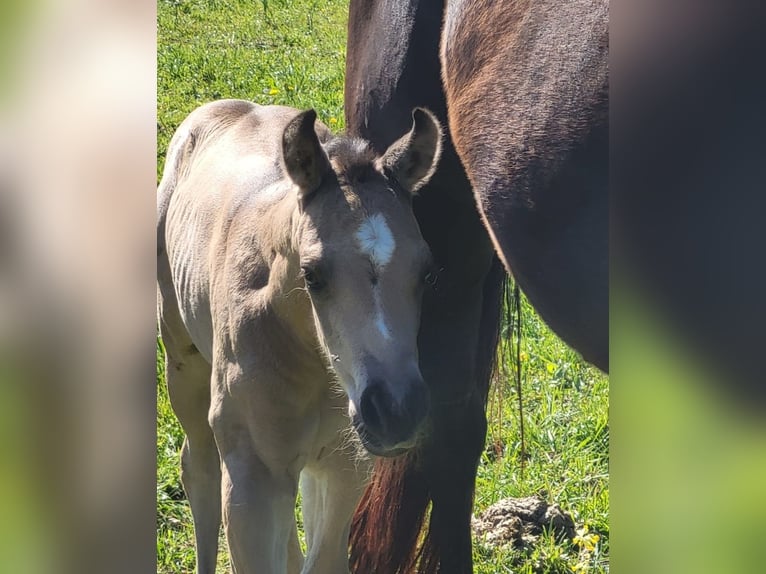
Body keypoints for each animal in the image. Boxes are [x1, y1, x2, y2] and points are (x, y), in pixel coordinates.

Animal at [156, 101, 444, 572]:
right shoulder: (252, 478)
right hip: (184, 366)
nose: (397, 410)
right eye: (313, 275)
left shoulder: (347, 466)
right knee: (198, 469)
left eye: (427, 272)